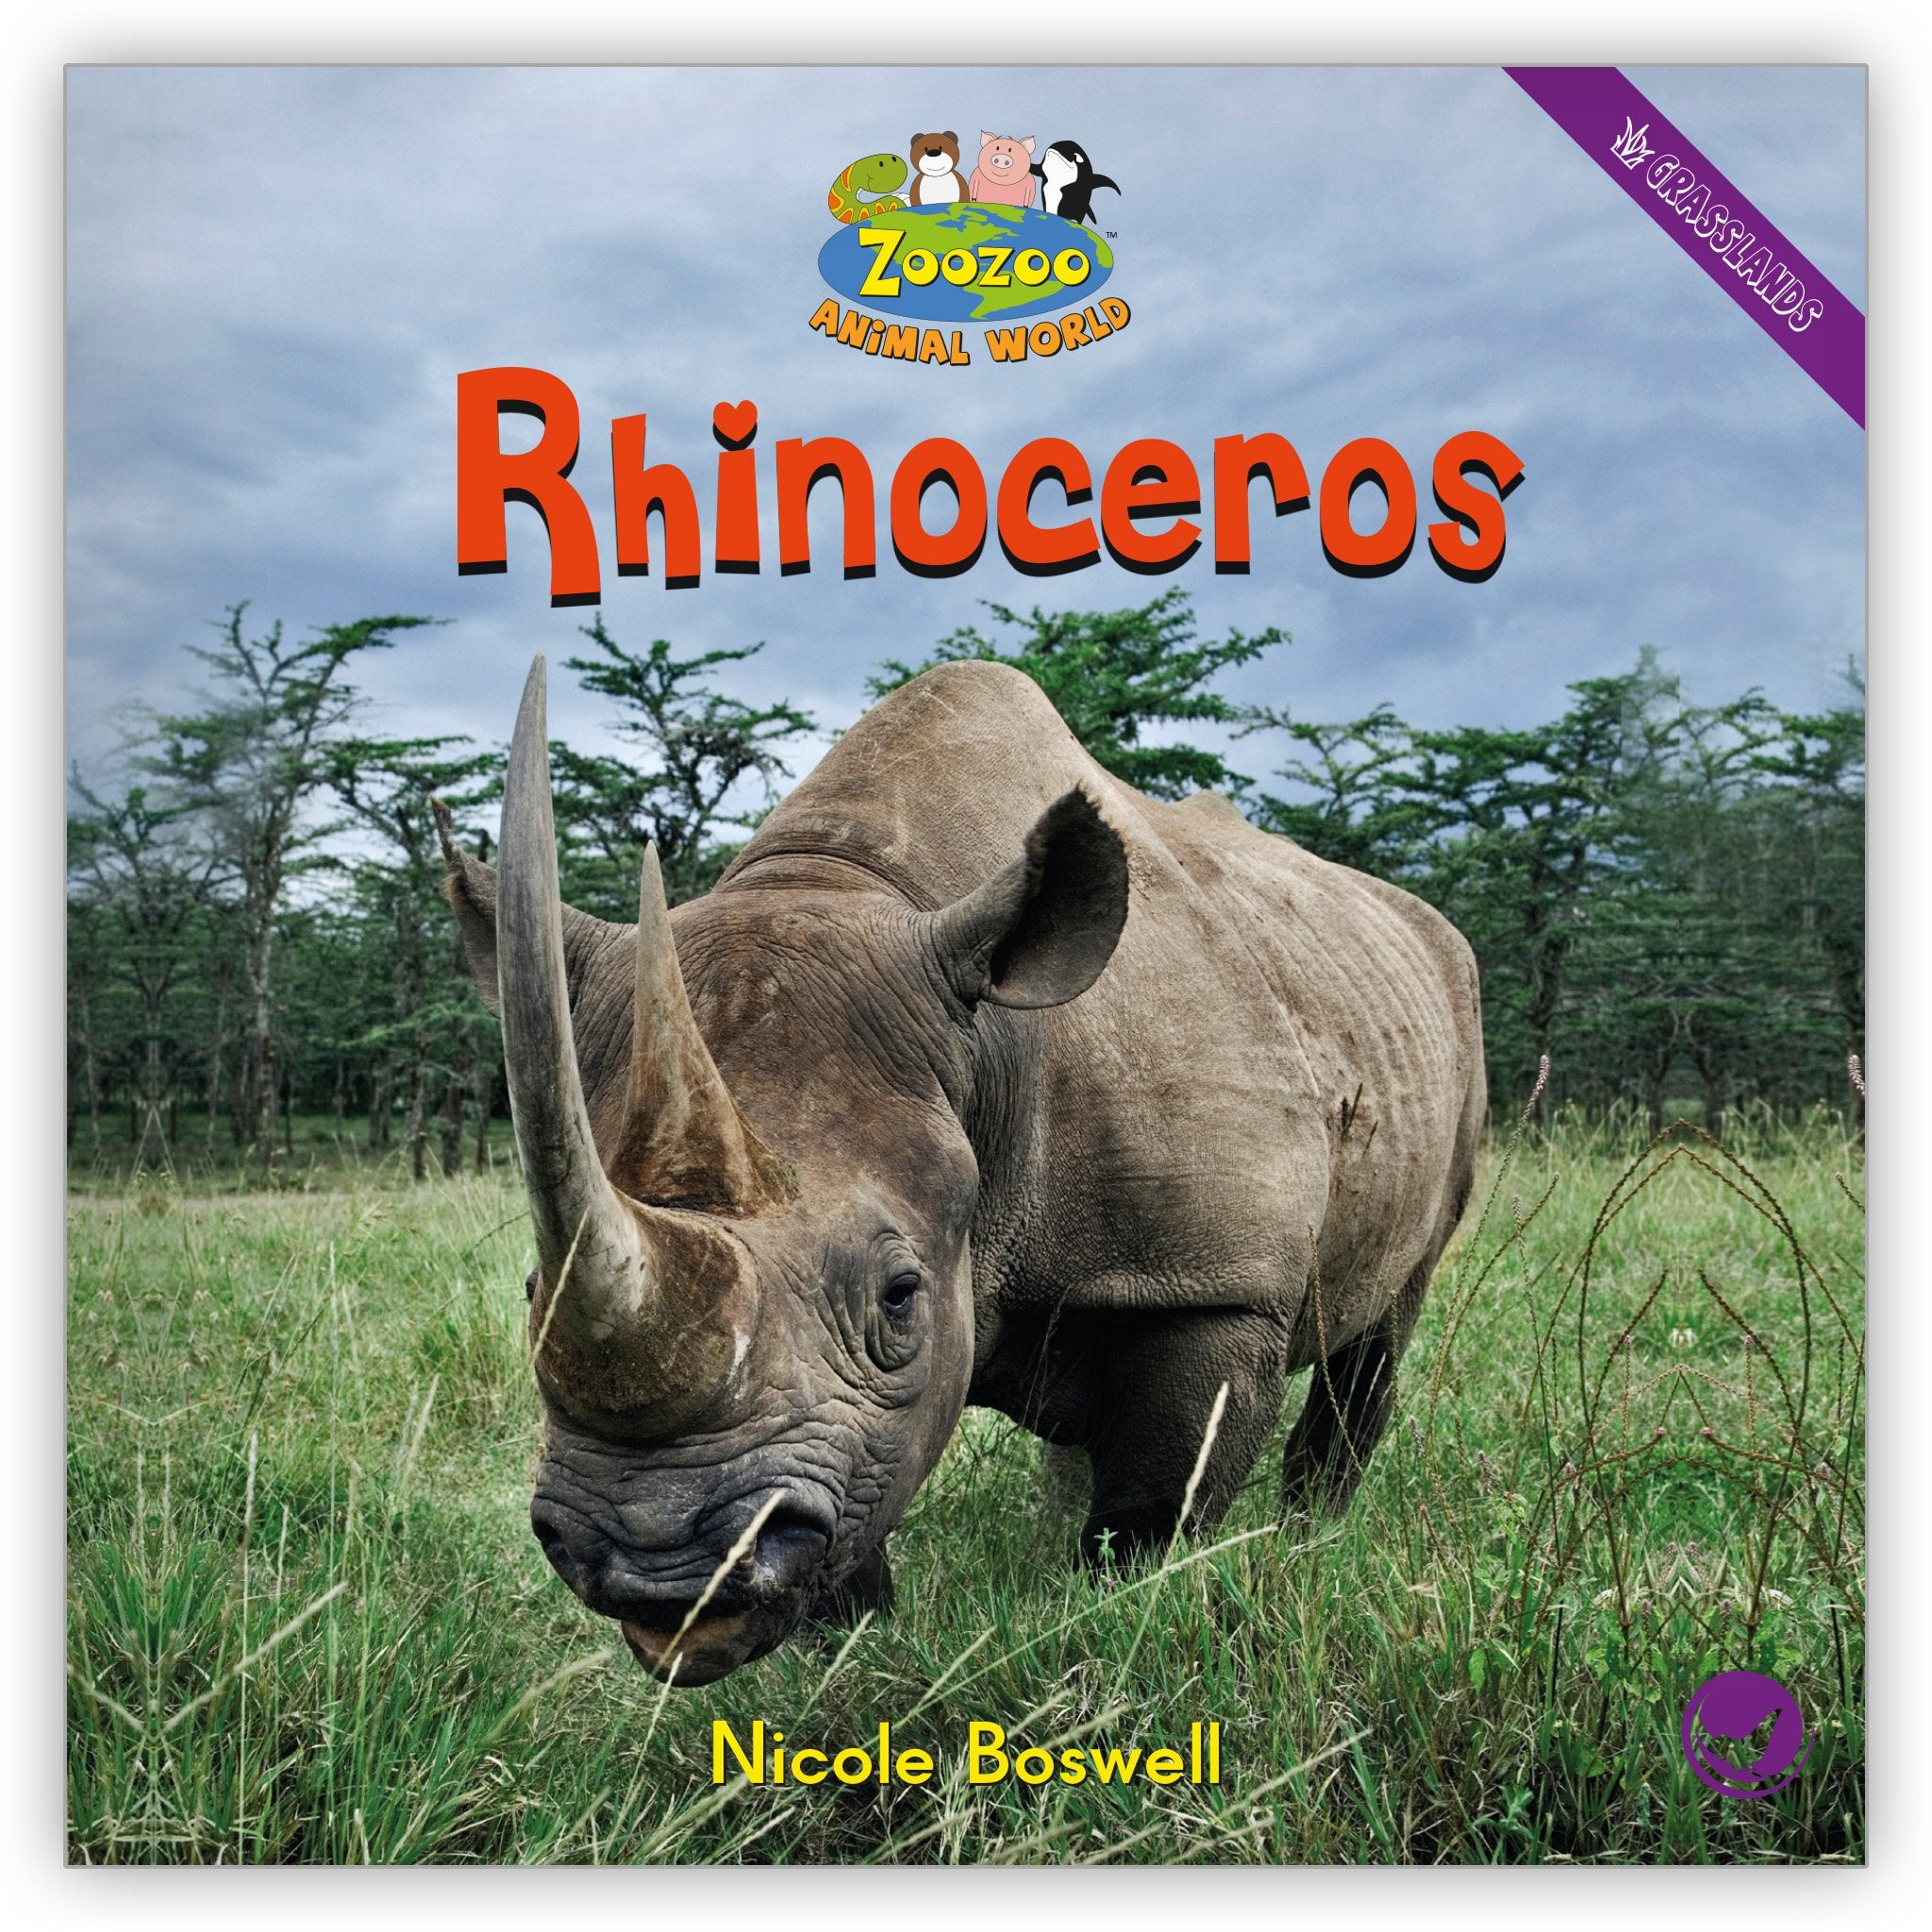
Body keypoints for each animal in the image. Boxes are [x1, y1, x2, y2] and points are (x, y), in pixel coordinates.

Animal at [438, 655, 1485, 1686]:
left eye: (899, 1295)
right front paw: (857, 1662)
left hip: (1445, 1010)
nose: (656, 1564)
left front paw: (1115, 1625)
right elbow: (860, 1523)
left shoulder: (1215, 1284)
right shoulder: (856, 1420)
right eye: (532, 1291)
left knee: (1384, 1323)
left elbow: (1151, 1513)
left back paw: (1310, 1540)